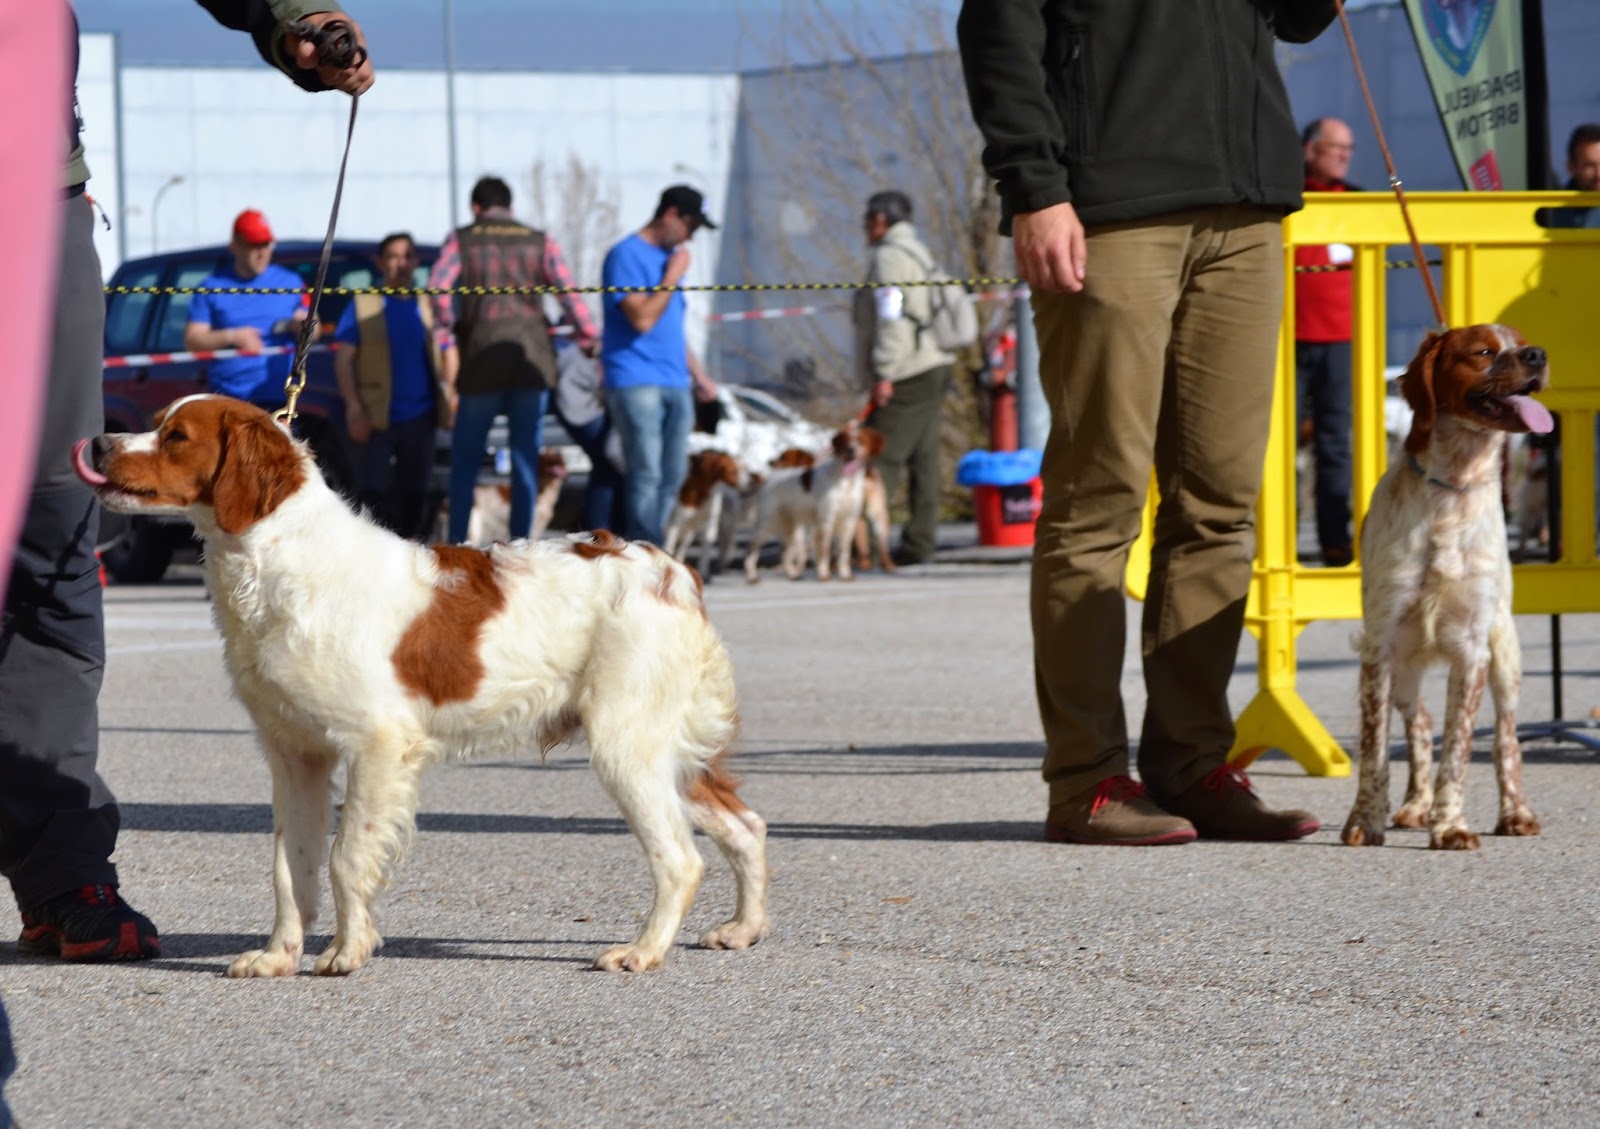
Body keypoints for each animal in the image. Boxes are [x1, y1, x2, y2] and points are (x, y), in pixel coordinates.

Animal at [73, 395, 768, 974]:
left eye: (175, 436)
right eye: (157, 425)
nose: (99, 442)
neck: (279, 565)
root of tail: (670, 570)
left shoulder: (377, 745)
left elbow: (346, 857)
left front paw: (347, 952)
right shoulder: (295, 754)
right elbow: (289, 867)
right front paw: (277, 957)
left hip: (626, 745)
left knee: (680, 858)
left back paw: (642, 951)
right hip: (668, 749)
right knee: (746, 825)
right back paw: (742, 929)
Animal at [743, 423, 885, 583]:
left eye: (861, 440)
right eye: (846, 441)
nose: (851, 449)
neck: (846, 481)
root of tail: (766, 480)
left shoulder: (848, 521)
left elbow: (844, 553)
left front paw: (845, 574)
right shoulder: (825, 521)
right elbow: (824, 550)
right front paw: (823, 574)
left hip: (790, 528)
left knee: (784, 553)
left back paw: (793, 574)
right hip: (767, 524)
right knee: (751, 550)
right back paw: (751, 576)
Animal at [1342, 325, 1552, 850]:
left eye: (1522, 341)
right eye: (1483, 352)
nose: (1538, 355)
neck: (1452, 488)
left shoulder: (1473, 650)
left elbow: (1459, 749)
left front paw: (1451, 825)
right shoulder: (1380, 648)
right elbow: (1375, 747)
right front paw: (1365, 821)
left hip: (1506, 656)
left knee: (1505, 738)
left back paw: (1515, 812)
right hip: (1402, 668)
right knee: (1419, 723)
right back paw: (1415, 806)